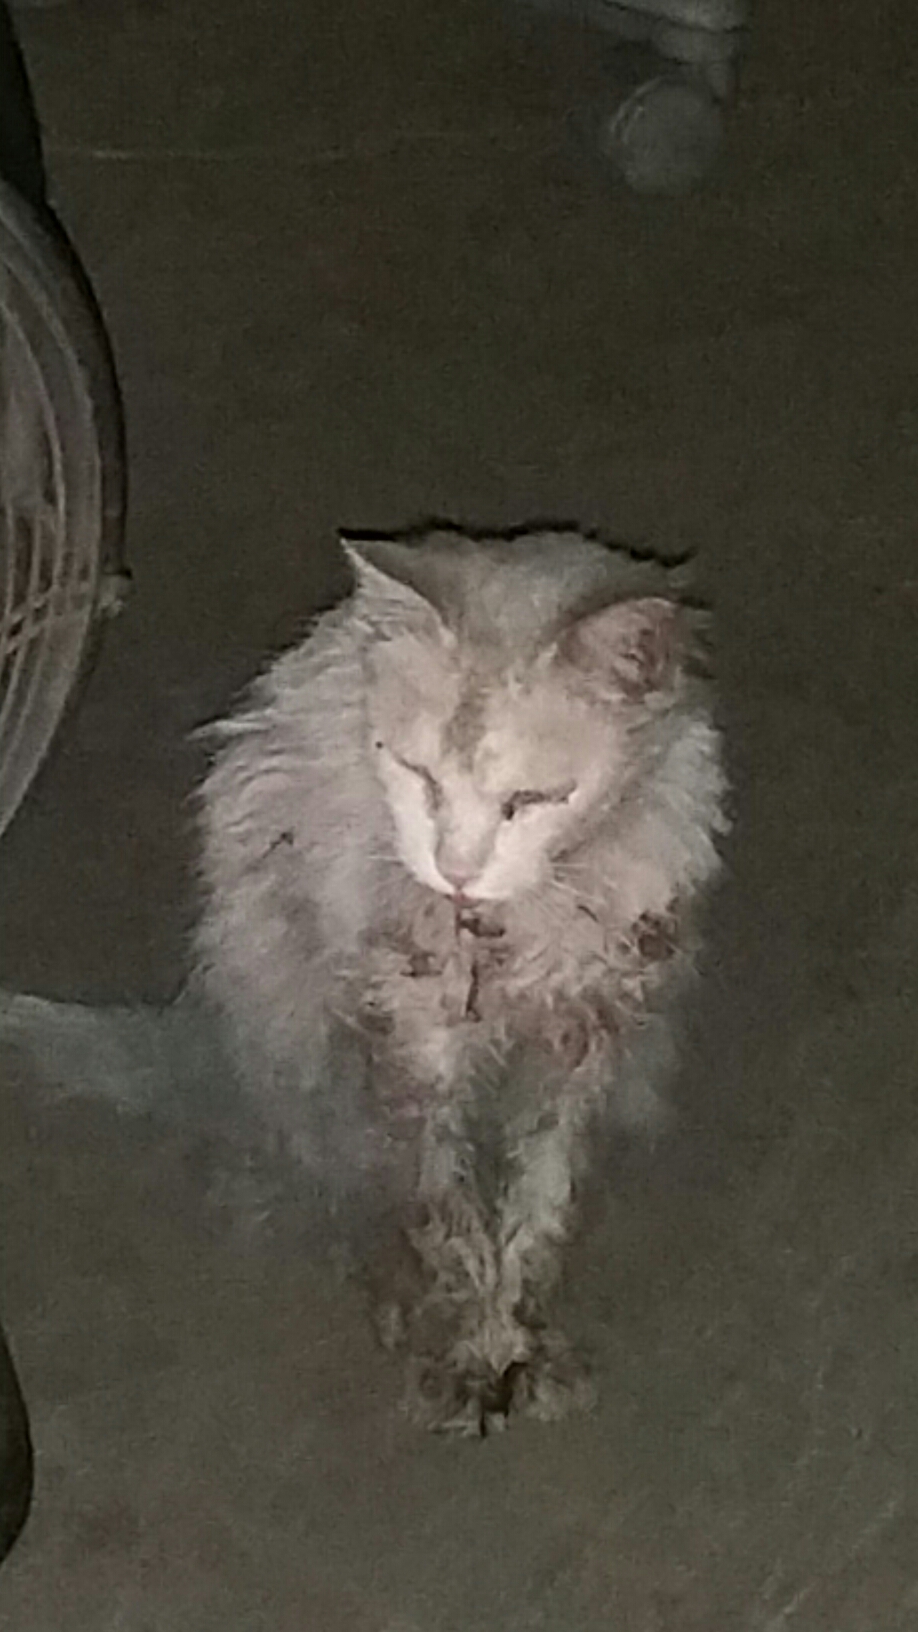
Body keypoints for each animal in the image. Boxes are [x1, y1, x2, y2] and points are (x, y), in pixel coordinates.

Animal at [193, 526, 729, 1435]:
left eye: (532, 800)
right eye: (418, 775)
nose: (456, 871)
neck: (508, 933)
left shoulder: (582, 1037)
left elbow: (540, 1201)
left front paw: (520, 1341)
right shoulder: (412, 1047)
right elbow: (441, 1210)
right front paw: (469, 1353)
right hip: (294, 1027)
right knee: (340, 1182)